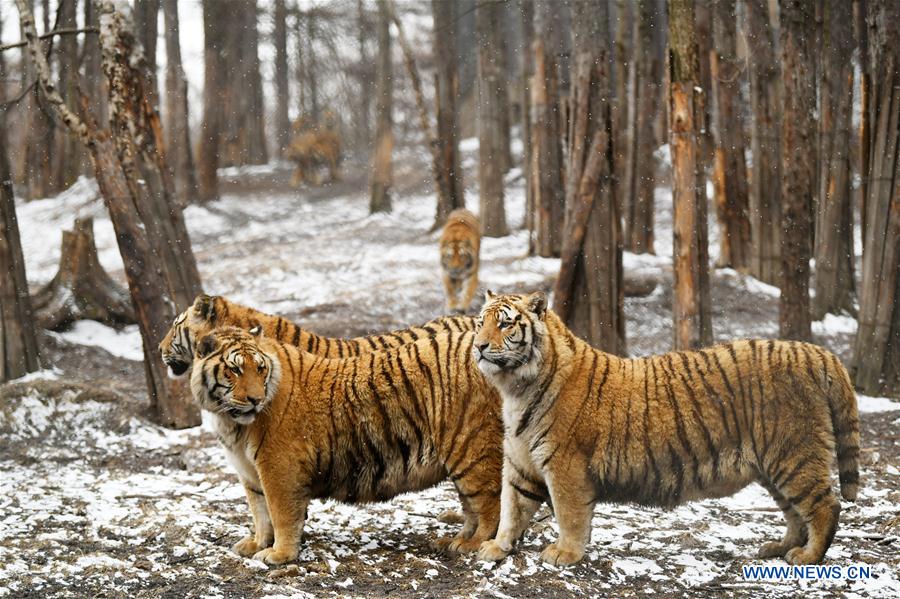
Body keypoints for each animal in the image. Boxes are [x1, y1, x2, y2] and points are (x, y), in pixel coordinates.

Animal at [189, 325, 503, 565]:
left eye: (260, 368)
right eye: (234, 370)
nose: (255, 399)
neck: (231, 421)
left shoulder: (278, 468)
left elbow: (280, 515)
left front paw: (279, 554)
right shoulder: (250, 473)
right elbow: (260, 513)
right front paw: (256, 544)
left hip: (471, 449)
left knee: (490, 504)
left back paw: (474, 544)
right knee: (472, 507)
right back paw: (456, 540)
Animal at [472, 291, 860, 566]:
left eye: (505, 325)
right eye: (480, 323)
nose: (478, 346)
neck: (515, 389)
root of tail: (817, 352)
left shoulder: (565, 467)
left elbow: (569, 516)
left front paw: (564, 554)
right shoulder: (521, 464)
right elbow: (512, 508)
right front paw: (496, 546)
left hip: (793, 453)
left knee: (826, 505)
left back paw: (808, 556)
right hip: (774, 465)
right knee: (795, 513)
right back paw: (779, 547)